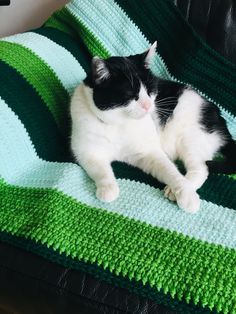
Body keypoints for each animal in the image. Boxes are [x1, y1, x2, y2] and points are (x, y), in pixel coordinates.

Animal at [70, 42, 236, 213]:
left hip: (191, 138)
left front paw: (187, 195)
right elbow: (101, 170)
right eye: (131, 95)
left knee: (201, 168)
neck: (118, 125)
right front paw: (108, 188)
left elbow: (171, 172)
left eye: (150, 91)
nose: (148, 105)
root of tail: (218, 115)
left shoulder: (149, 152)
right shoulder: (86, 152)